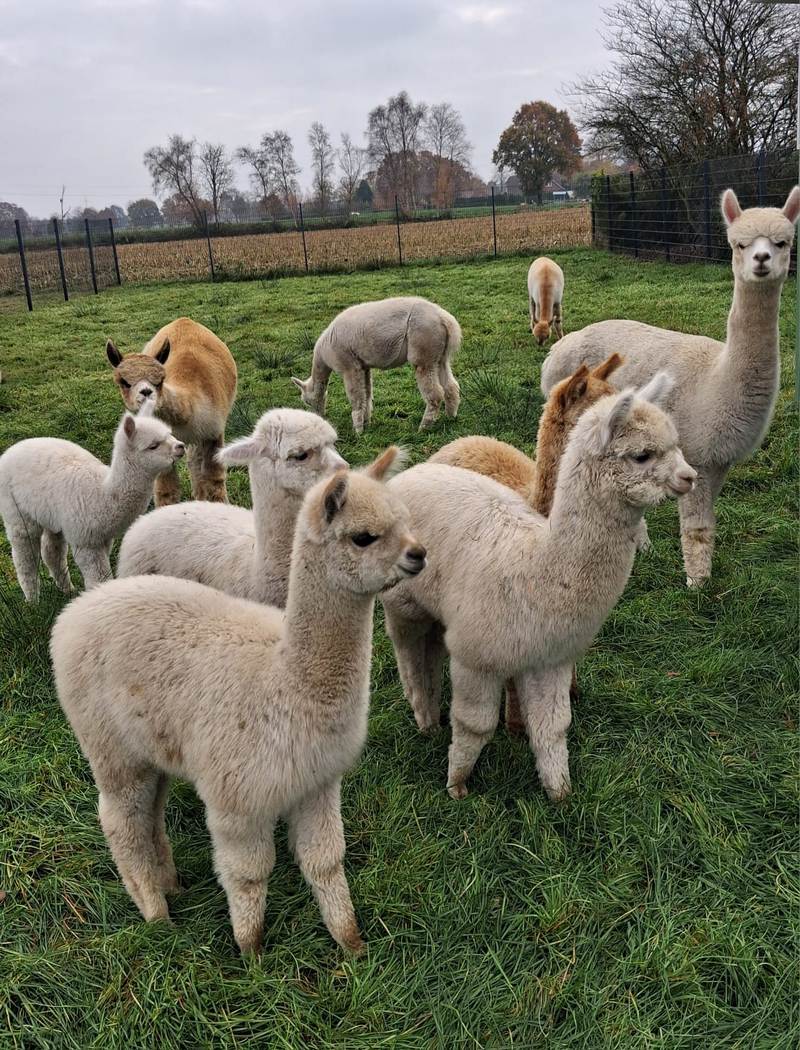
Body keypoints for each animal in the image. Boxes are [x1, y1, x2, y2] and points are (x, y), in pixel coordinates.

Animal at [0, 410, 184, 602]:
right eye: (153, 445)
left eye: (170, 434)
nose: (181, 446)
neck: (103, 494)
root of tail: (13, 448)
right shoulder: (85, 541)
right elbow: (98, 577)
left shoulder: (103, 537)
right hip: (15, 510)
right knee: (25, 555)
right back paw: (33, 600)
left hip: (51, 516)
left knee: (52, 551)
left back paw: (67, 590)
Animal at [50, 447, 426, 956]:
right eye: (364, 537)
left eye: (406, 521)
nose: (419, 554)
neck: (287, 682)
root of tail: (72, 616)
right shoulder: (238, 799)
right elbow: (248, 874)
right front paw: (251, 951)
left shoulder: (317, 782)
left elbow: (326, 860)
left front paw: (351, 944)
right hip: (108, 742)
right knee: (120, 820)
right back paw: (156, 914)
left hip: (155, 746)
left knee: (150, 812)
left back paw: (171, 885)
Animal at [106, 317, 237, 506]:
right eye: (124, 382)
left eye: (160, 380)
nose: (146, 393)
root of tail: (184, 320)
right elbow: (166, 490)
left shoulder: (214, 431)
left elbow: (215, 480)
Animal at [291, 296, 461, 433]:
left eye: (306, 401)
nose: (317, 417)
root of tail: (444, 319)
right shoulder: (363, 366)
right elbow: (366, 394)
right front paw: (366, 422)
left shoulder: (349, 367)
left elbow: (356, 397)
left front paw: (358, 430)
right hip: (439, 357)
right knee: (451, 385)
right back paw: (450, 417)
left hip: (423, 349)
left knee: (436, 393)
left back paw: (424, 427)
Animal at [541, 185, 800, 586]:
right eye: (739, 244)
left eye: (782, 242)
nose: (761, 260)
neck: (717, 380)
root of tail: (558, 347)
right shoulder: (696, 452)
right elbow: (696, 529)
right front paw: (697, 587)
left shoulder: (718, 459)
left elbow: (707, 524)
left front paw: (700, 578)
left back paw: (641, 545)